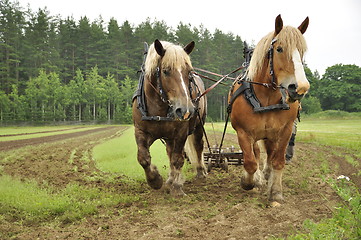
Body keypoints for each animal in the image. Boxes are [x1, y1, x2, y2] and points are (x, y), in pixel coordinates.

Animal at [132, 39, 207, 197]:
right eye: (166, 71)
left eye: (188, 72)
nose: (185, 109)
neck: (159, 108)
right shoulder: (140, 130)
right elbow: (143, 157)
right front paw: (155, 180)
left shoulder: (181, 132)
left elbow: (178, 159)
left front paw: (177, 187)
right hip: (168, 136)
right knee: (169, 151)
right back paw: (170, 179)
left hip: (198, 125)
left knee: (198, 145)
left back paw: (200, 172)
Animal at [228, 14, 310, 203]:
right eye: (279, 49)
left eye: (302, 52)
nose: (300, 88)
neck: (266, 98)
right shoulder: (243, 132)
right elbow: (250, 161)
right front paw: (248, 182)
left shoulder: (286, 130)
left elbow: (278, 160)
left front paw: (276, 191)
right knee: (256, 153)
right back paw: (258, 178)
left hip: (271, 134)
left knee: (270, 152)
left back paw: (267, 174)